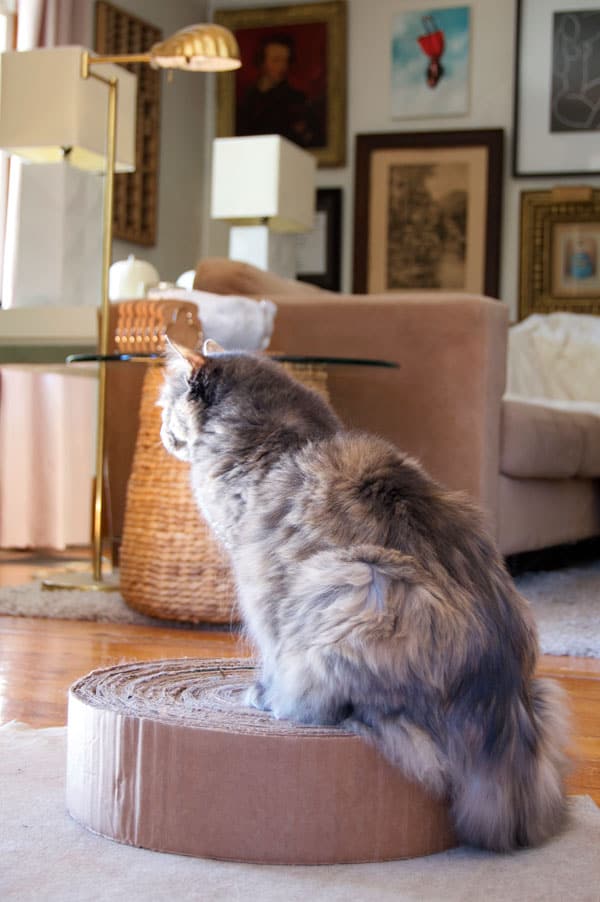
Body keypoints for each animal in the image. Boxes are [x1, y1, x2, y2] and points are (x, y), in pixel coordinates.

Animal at [161, 340, 572, 856]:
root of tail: (500, 709)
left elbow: (269, 650)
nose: (160, 431)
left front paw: (261, 692)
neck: (276, 436)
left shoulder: (259, 583)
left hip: (357, 581)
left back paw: (289, 705)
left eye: (166, 405)